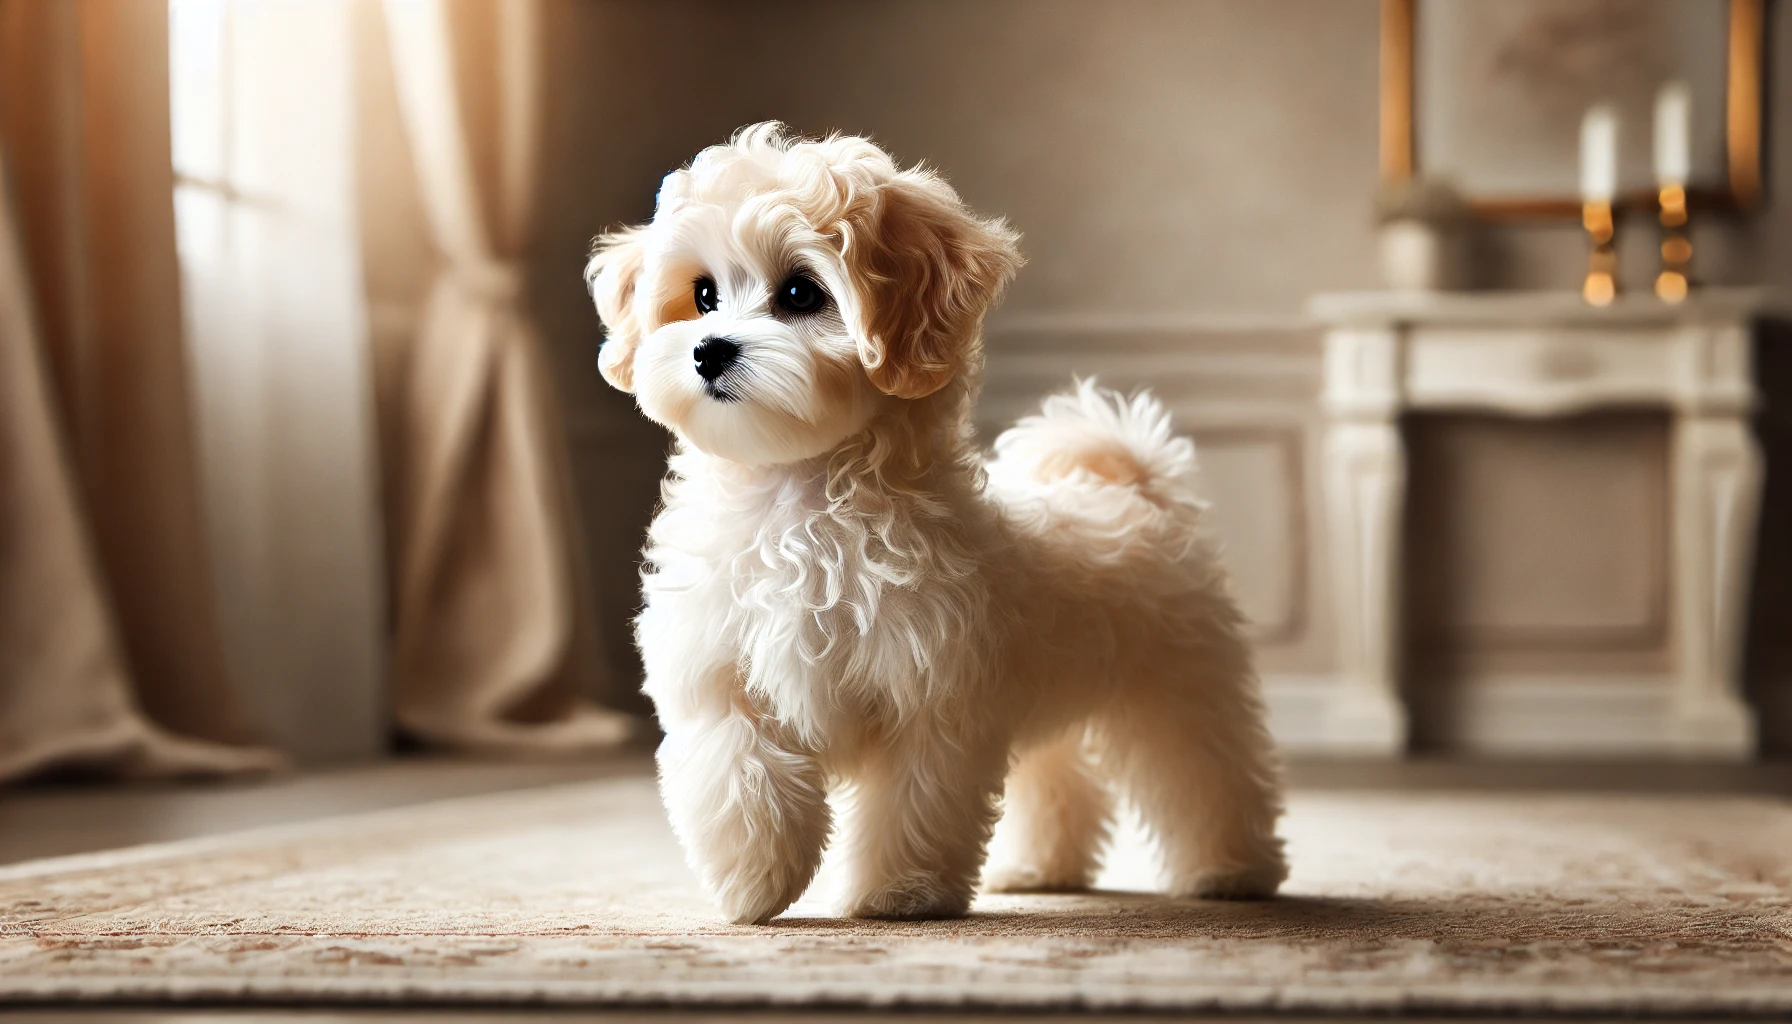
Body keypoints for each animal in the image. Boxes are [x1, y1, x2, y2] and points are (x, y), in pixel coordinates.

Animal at [591, 121, 1290, 932]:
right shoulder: (719, 674)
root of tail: (1130, 485)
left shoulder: (931, 695)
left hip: (1176, 685)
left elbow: (913, 801)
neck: (799, 499)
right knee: (1056, 778)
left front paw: (902, 894)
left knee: (1205, 770)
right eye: (702, 294)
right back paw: (1040, 869)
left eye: (799, 291)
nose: (708, 349)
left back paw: (1232, 870)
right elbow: (739, 771)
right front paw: (753, 880)